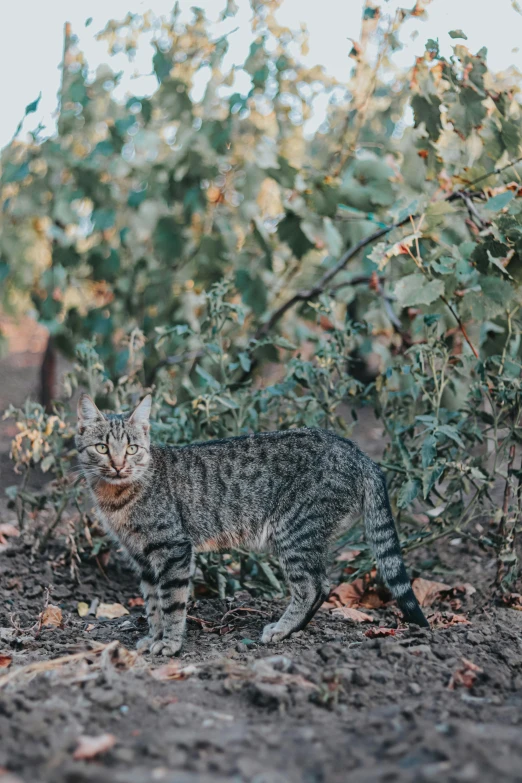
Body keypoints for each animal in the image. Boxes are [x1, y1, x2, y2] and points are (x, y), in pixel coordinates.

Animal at [77, 392, 426, 656]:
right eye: (102, 448)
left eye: (132, 448)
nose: (118, 465)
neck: (117, 497)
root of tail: (360, 454)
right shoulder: (143, 557)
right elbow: (152, 604)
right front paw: (155, 636)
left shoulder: (172, 548)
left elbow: (171, 603)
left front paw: (171, 643)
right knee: (322, 585)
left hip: (294, 531)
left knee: (313, 586)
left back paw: (283, 629)